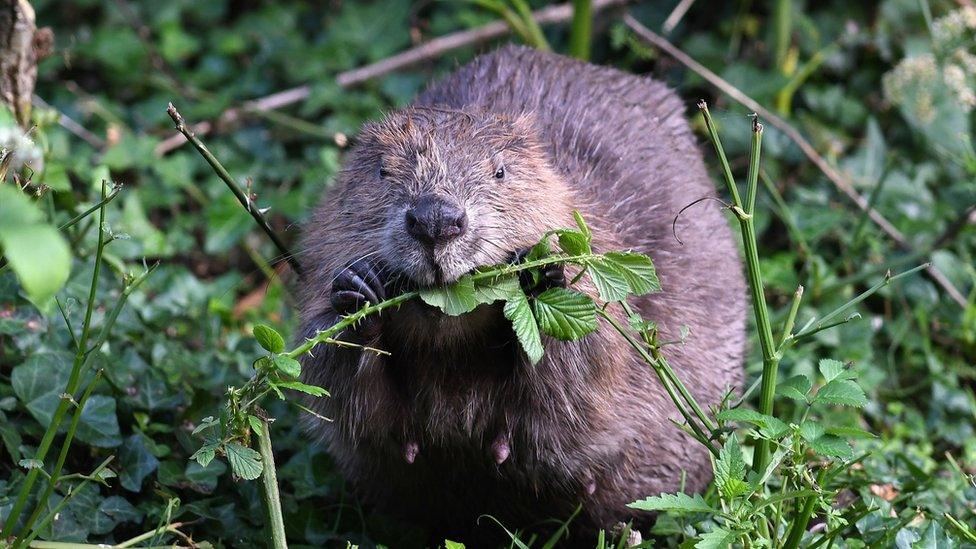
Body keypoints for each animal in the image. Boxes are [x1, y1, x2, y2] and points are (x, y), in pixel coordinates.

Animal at [298, 46, 748, 544]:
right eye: (381, 170)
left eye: (500, 170)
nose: (436, 220)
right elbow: (347, 402)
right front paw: (357, 292)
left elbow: (583, 382)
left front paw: (540, 274)